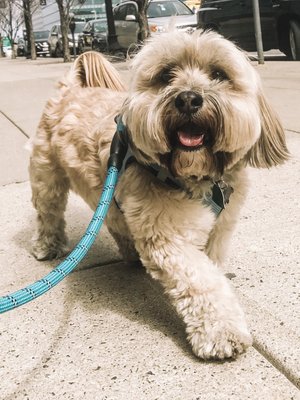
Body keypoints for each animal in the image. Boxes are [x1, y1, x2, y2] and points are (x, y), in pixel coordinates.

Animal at [29, 30, 290, 360]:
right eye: (167, 75)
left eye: (219, 74)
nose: (188, 99)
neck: (196, 176)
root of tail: (69, 90)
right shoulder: (167, 237)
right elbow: (202, 282)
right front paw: (221, 331)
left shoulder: (220, 230)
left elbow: (213, 269)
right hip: (47, 177)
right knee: (48, 212)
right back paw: (48, 246)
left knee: (114, 219)